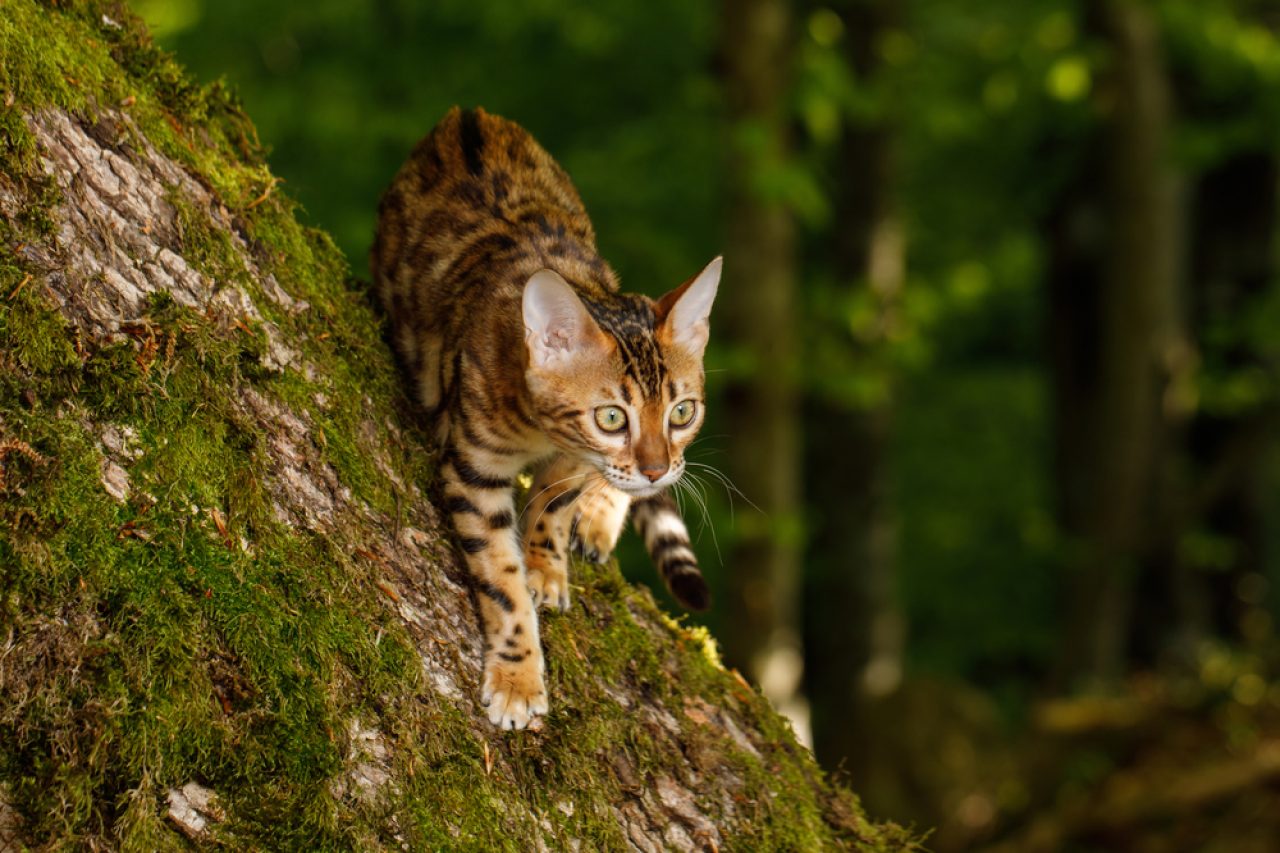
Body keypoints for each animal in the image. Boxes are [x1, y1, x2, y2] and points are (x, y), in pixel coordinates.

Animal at [373, 106, 727, 727]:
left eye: (682, 412)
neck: (542, 432)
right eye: (611, 418)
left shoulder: (580, 460)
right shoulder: (472, 467)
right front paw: (518, 674)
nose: (658, 469)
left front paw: (547, 563)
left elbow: (555, 505)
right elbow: (499, 578)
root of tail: (466, 113)